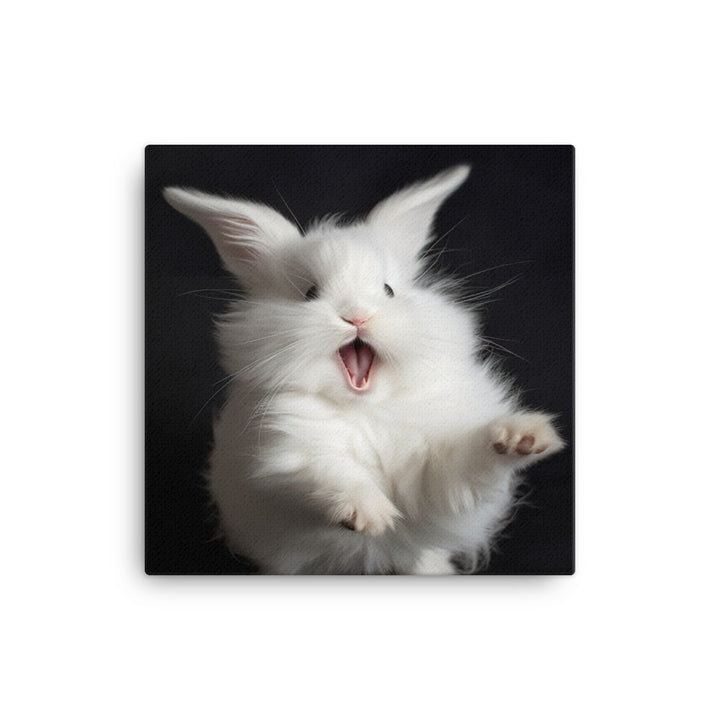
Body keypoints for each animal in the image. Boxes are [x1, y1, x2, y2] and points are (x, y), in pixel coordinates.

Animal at [163, 165, 564, 574]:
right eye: (309, 293)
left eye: (388, 290)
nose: (357, 316)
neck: (366, 408)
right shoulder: (286, 452)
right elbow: (328, 473)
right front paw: (368, 515)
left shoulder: (437, 472)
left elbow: (466, 462)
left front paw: (522, 437)